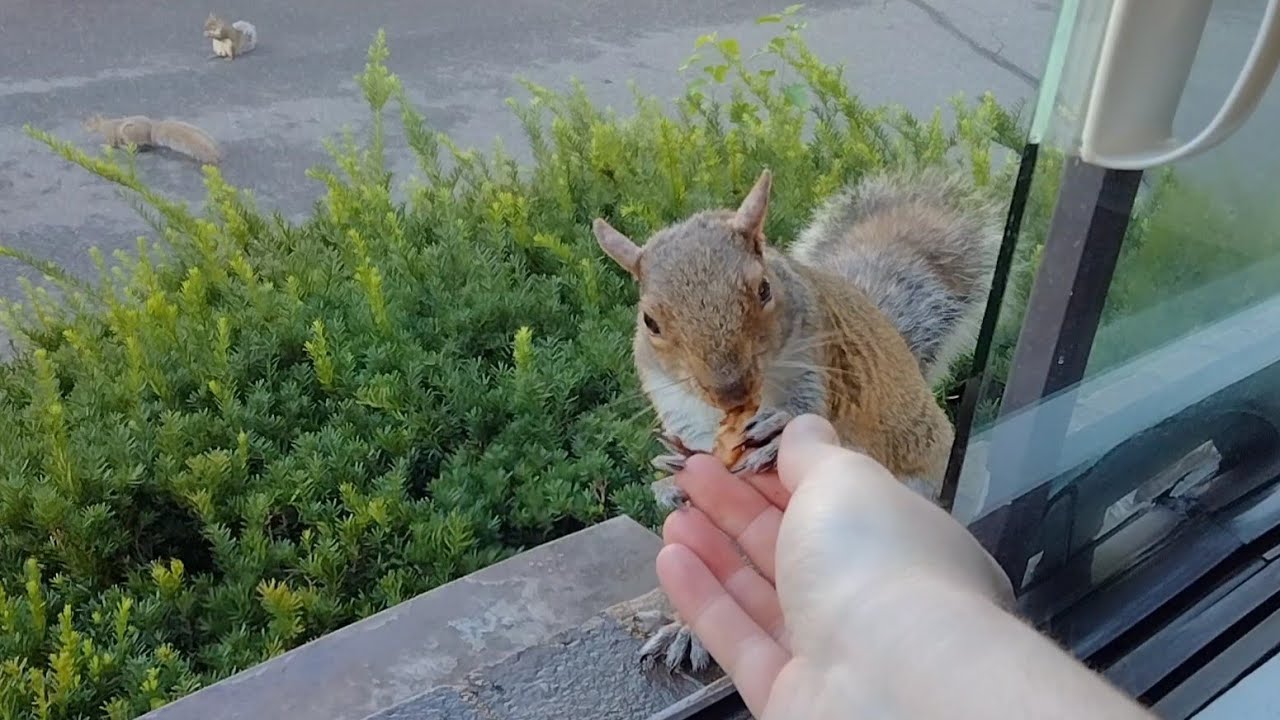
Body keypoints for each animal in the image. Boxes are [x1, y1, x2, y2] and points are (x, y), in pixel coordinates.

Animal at [83, 115, 222, 165]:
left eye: (89, 123)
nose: (83, 127)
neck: (104, 125)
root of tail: (152, 132)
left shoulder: (111, 134)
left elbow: (111, 144)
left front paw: (103, 146)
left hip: (129, 133)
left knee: (137, 147)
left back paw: (125, 147)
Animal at [592, 166, 1001, 671]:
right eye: (650, 322)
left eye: (764, 289)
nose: (730, 389)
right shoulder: (678, 402)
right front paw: (674, 472)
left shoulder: (820, 368)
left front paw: (776, 432)